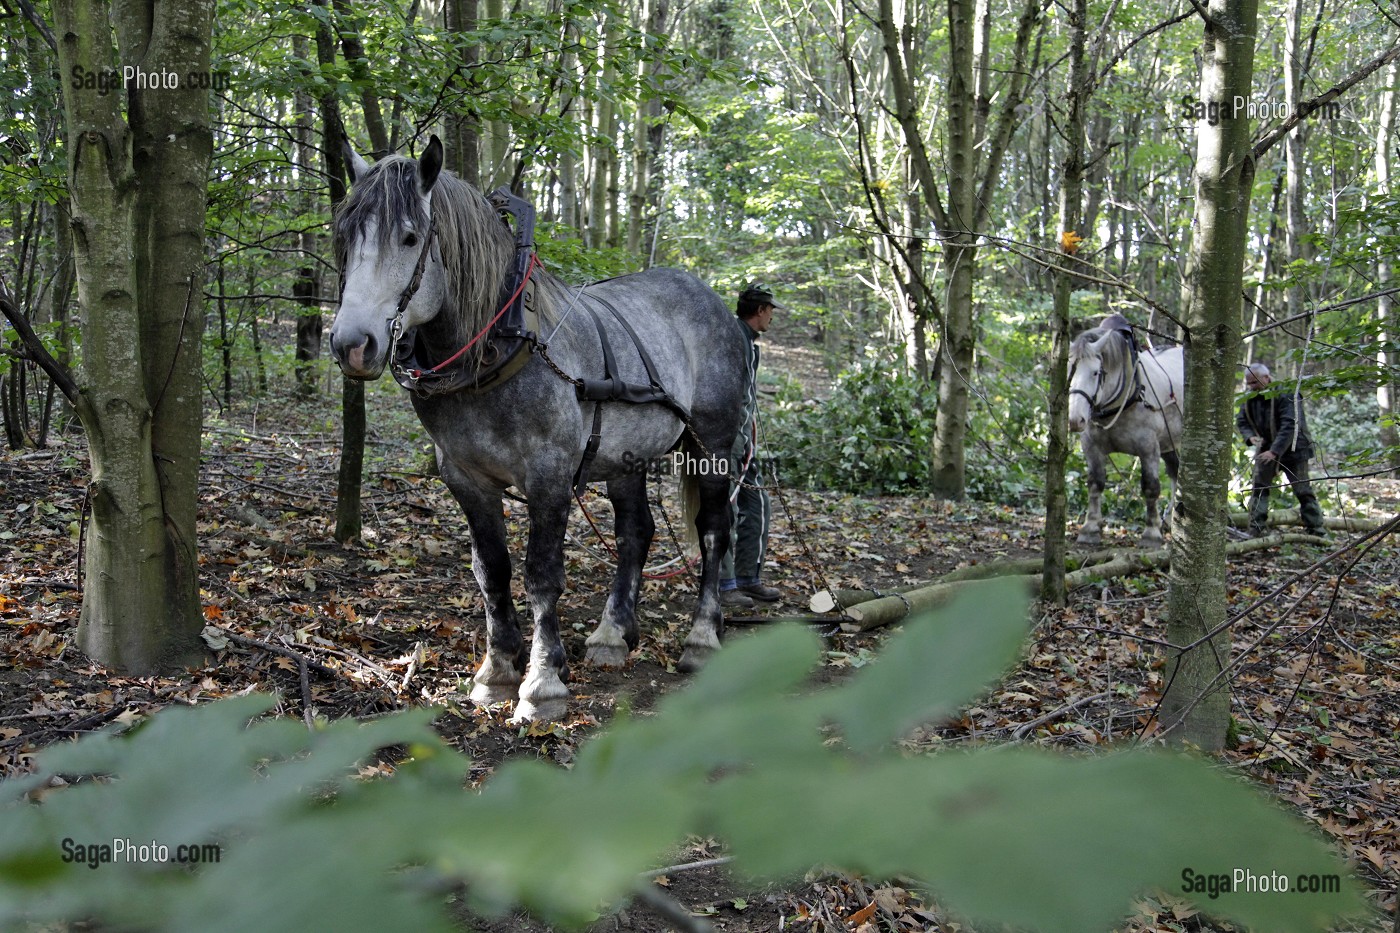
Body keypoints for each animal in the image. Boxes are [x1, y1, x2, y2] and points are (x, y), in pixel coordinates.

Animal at [328, 136, 750, 722]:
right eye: (345, 235)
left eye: (410, 237)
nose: (352, 344)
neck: (496, 346)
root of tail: (708, 295)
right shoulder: (466, 479)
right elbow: (492, 571)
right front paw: (497, 671)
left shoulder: (549, 477)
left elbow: (541, 575)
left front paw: (542, 681)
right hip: (626, 456)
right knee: (635, 532)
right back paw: (612, 634)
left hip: (713, 443)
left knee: (713, 530)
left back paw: (702, 637)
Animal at [1066, 322, 1184, 548]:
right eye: (1070, 371)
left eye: (1096, 373)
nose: (1076, 419)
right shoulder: (1091, 446)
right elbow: (1095, 483)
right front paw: (1090, 528)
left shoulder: (1149, 448)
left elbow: (1151, 487)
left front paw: (1151, 533)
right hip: (1169, 441)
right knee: (1175, 470)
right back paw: (1169, 520)